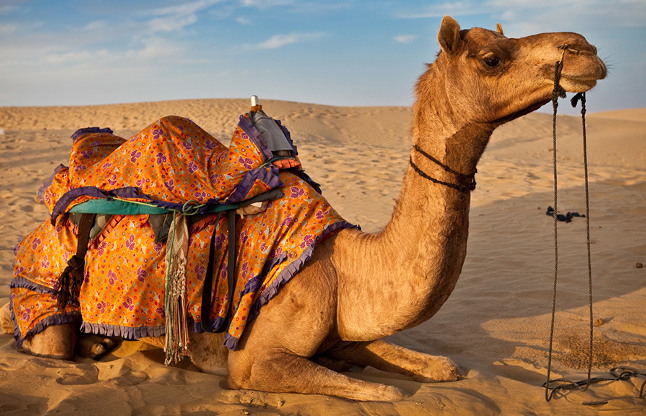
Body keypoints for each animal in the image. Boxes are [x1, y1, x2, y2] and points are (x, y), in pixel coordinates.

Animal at [1, 16, 606, 401]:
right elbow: (384, 392)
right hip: (45, 293)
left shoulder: (349, 329)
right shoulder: (255, 359)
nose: (586, 49)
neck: (346, 268)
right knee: (49, 341)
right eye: (491, 58)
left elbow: (442, 365)